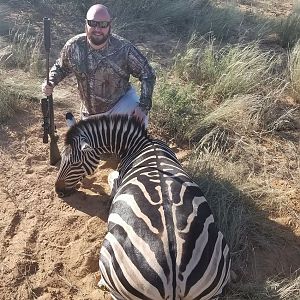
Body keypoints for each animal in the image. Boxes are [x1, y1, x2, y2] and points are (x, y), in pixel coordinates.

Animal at [55, 114, 230, 300]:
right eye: (62, 159)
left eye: (76, 163)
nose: (58, 191)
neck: (141, 144)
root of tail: (175, 272)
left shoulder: (118, 177)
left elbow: (110, 178)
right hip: (218, 262)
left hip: (111, 256)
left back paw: (102, 282)